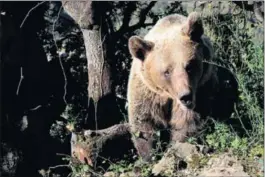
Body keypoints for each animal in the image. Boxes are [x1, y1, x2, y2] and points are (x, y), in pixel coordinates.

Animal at [127, 12, 218, 162]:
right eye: (166, 72)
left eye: (189, 66)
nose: (185, 96)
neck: (169, 95)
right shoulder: (148, 93)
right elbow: (144, 122)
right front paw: (149, 155)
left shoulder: (199, 93)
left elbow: (186, 124)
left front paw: (175, 148)